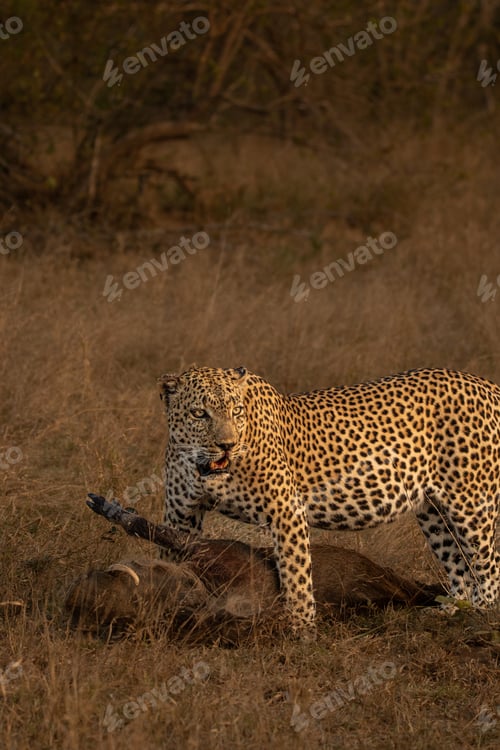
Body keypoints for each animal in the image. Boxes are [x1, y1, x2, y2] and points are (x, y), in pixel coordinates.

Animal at [158, 366, 500, 632]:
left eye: (236, 411)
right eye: (199, 414)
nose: (227, 445)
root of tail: (487, 385)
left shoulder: (286, 512)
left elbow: (295, 575)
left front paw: (301, 631)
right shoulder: (180, 517)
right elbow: (166, 560)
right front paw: (160, 608)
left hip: (471, 503)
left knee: (489, 567)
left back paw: (481, 616)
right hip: (432, 511)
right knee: (458, 564)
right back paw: (450, 611)